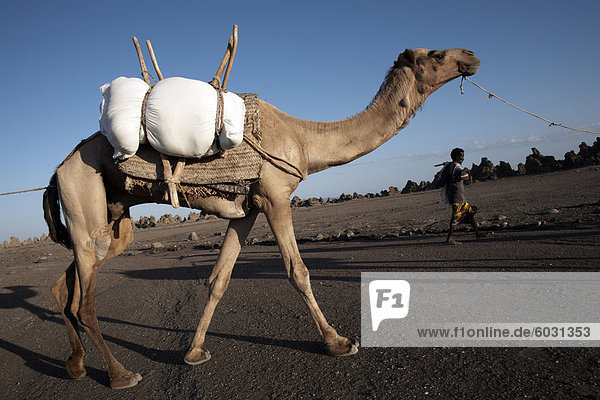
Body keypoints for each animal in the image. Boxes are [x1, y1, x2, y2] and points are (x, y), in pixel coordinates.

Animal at [42, 47, 478, 388]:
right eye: (437, 55)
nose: (471, 57)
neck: (303, 139)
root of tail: (58, 170)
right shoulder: (275, 196)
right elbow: (297, 271)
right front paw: (338, 342)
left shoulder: (246, 210)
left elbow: (219, 278)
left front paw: (194, 352)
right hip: (84, 197)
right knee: (84, 301)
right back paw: (120, 374)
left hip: (112, 219)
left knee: (66, 287)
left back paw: (75, 364)